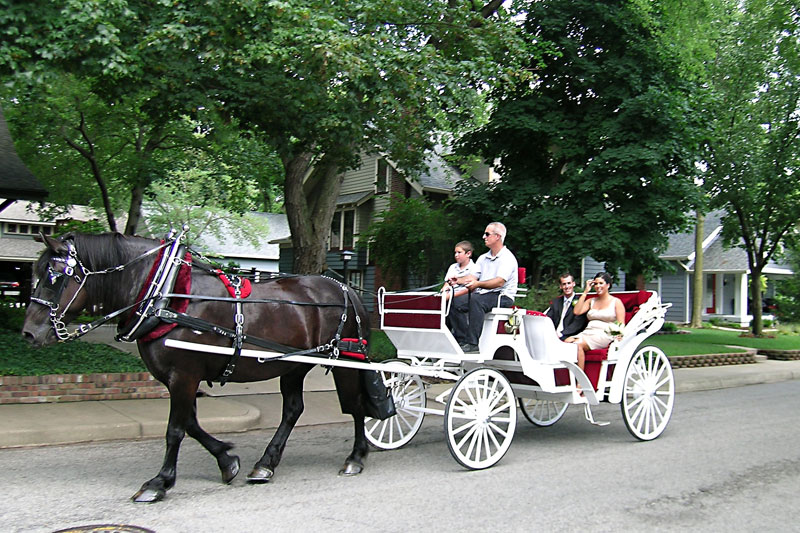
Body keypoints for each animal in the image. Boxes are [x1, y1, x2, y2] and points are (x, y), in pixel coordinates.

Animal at [21, 231, 376, 500]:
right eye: (36, 274)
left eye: (55, 277)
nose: (28, 333)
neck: (165, 294)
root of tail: (345, 287)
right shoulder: (178, 378)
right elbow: (191, 423)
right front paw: (227, 460)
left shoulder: (184, 374)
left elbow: (175, 429)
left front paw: (160, 482)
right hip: (294, 366)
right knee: (293, 410)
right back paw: (266, 463)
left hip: (346, 359)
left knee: (356, 406)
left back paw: (356, 457)